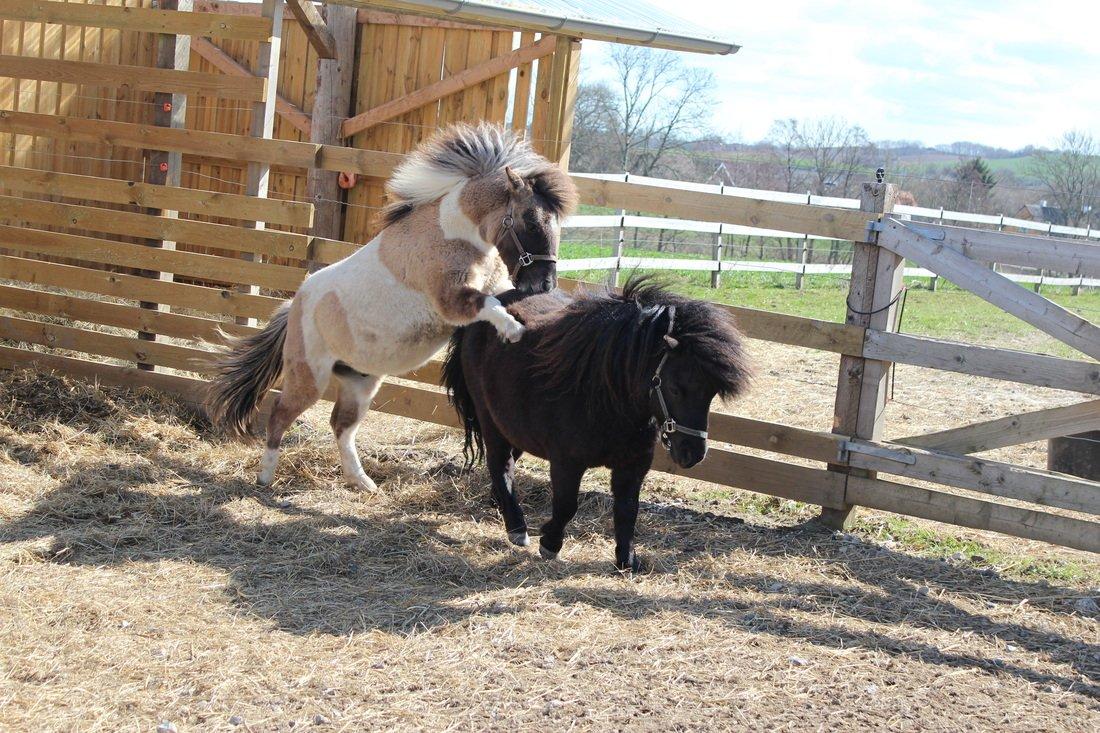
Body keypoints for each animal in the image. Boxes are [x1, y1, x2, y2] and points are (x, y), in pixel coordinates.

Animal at [209, 124, 580, 490]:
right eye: (530, 222)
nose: (545, 285)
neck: (451, 233)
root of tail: (295, 304)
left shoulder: (496, 286)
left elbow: (497, 295)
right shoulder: (452, 301)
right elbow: (486, 304)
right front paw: (513, 329)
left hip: (360, 382)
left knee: (340, 426)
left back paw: (363, 483)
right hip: (309, 377)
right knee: (279, 414)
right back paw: (265, 478)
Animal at [442, 277, 752, 567]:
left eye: (711, 393)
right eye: (676, 388)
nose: (693, 454)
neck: (605, 395)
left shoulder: (634, 465)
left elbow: (627, 509)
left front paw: (627, 560)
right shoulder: (566, 463)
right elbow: (566, 505)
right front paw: (550, 543)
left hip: (512, 426)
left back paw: (498, 504)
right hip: (490, 420)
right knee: (501, 465)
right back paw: (516, 527)